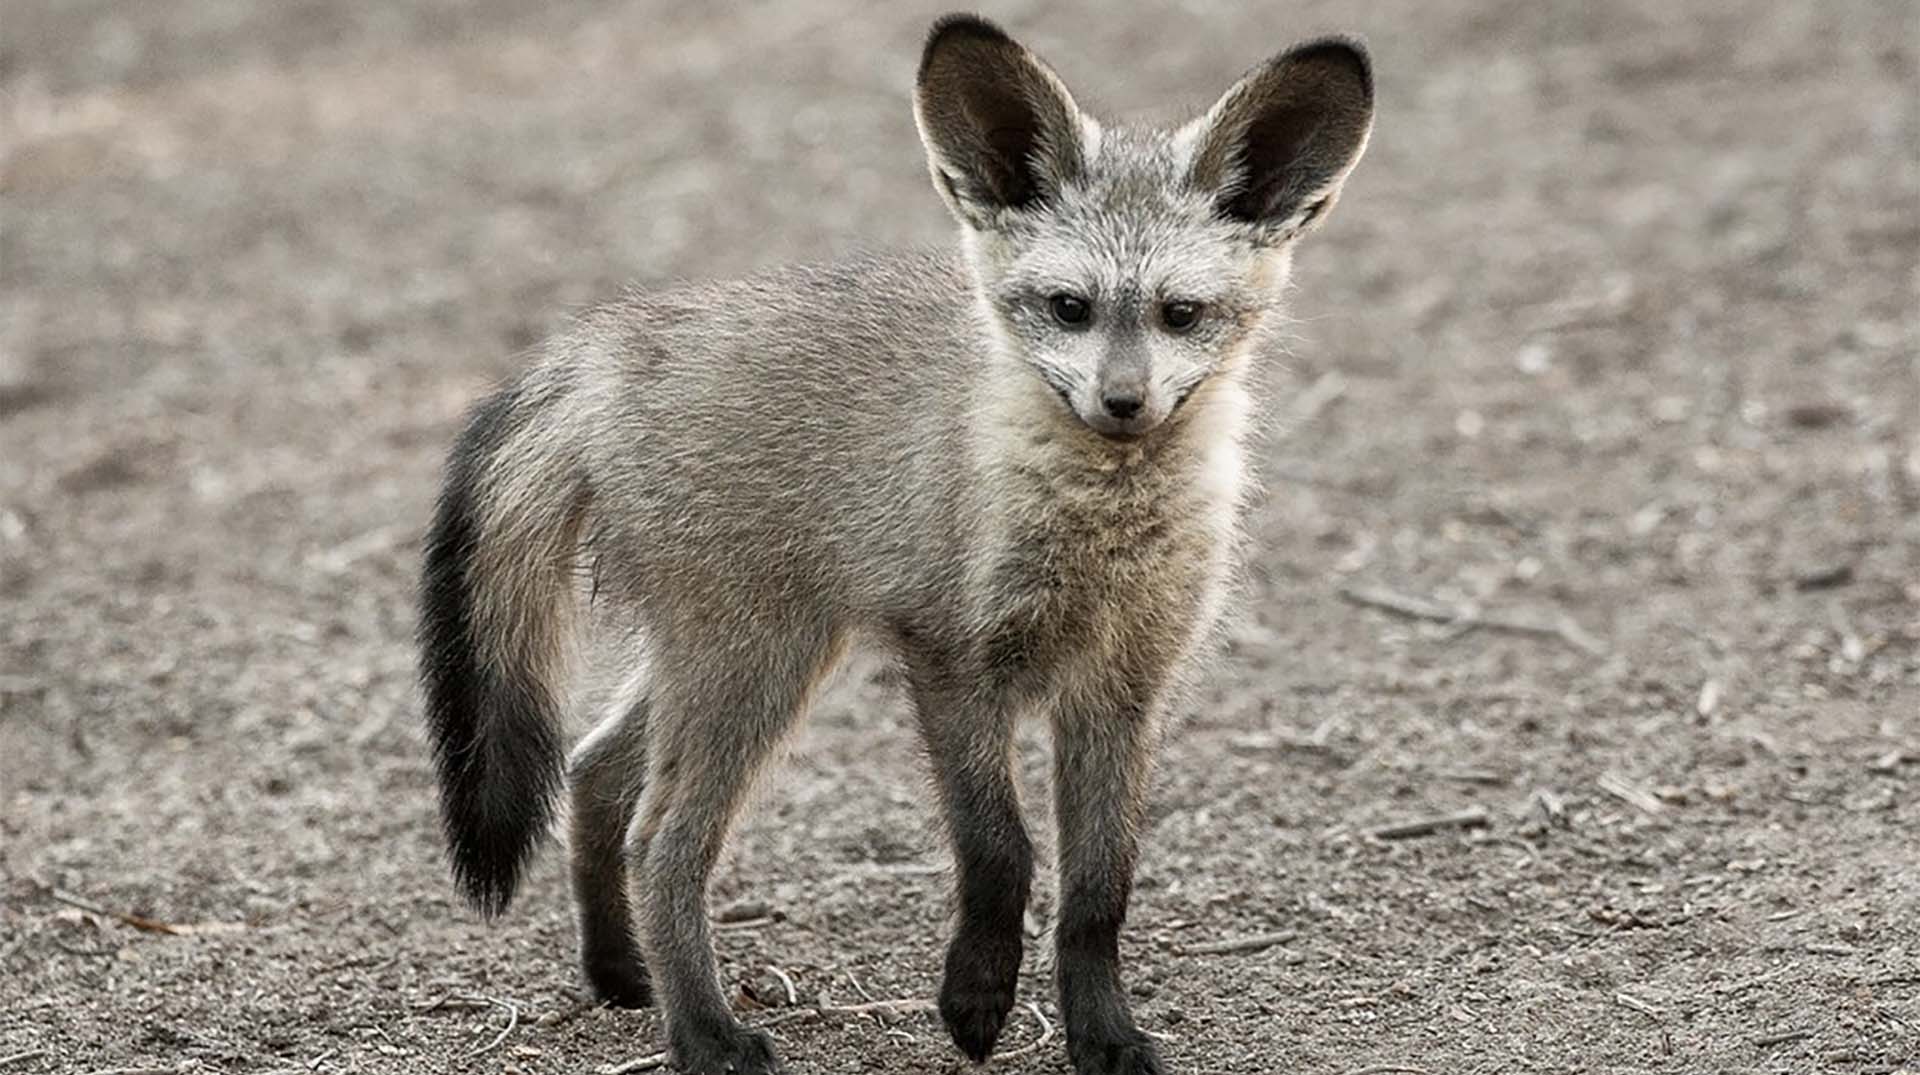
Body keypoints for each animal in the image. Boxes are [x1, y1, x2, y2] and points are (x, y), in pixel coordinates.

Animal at [424, 10, 1367, 1075]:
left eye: (1181, 314)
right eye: (1071, 308)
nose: (1123, 403)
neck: (1098, 539)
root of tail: (608, 343)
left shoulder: (1126, 685)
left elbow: (1099, 886)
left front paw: (1104, 1033)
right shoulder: (952, 659)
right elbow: (1000, 851)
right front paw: (975, 999)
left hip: (736, 659)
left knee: (593, 771)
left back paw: (624, 978)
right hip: (758, 664)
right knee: (659, 841)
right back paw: (705, 1033)